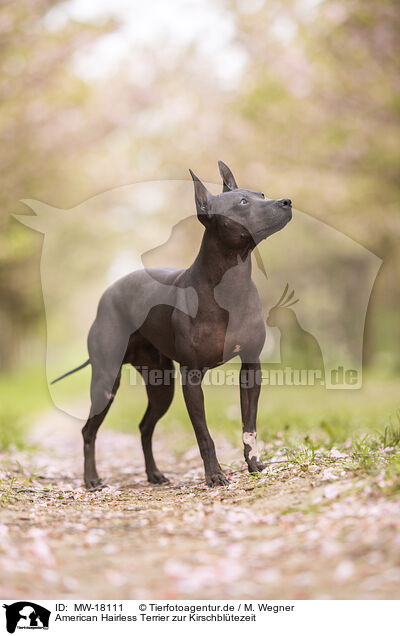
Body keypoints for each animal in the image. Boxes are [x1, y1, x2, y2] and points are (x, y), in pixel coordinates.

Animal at [51, 161, 292, 490]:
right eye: (243, 203)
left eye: (261, 194)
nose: (286, 201)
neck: (231, 285)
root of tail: (107, 296)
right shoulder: (192, 377)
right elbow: (204, 435)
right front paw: (214, 475)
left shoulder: (251, 367)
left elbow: (249, 426)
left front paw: (254, 464)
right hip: (106, 382)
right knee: (89, 431)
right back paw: (92, 479)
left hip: (161, 386)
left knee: (144, 427)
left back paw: (153, 473)